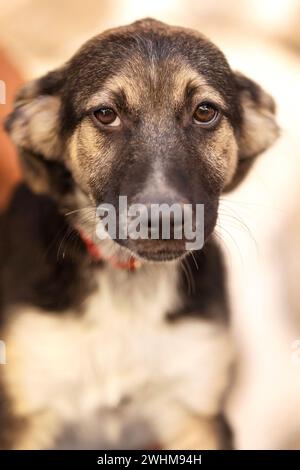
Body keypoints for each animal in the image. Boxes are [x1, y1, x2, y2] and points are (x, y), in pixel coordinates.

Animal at [0, 18, 278, 450]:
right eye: (105, 114)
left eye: (205, 112)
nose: (163, 218)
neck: (128, 282)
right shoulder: (26, 415)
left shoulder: (198, 416)